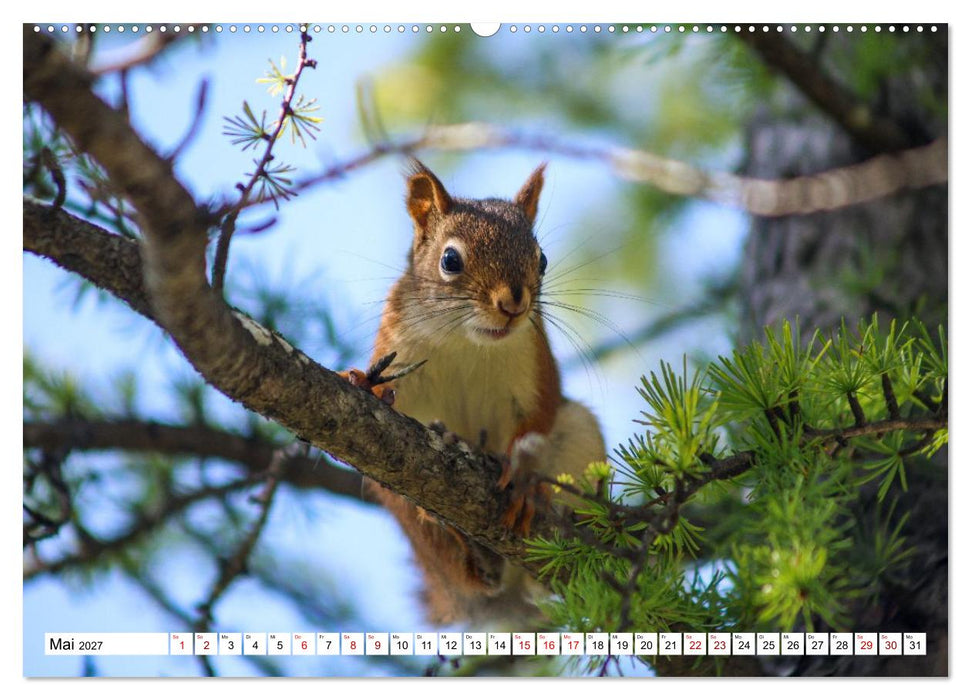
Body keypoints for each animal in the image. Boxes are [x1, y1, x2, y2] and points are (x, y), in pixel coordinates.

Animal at [343, 161, 606, 625]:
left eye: (541, 259)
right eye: (450, 260)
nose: (513, 304)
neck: (467, 341)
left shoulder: (537, 365)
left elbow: (540, 414)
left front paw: (524, 482)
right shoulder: (397, 339)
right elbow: (392, 390)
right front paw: (369, 387)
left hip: (581, 435)